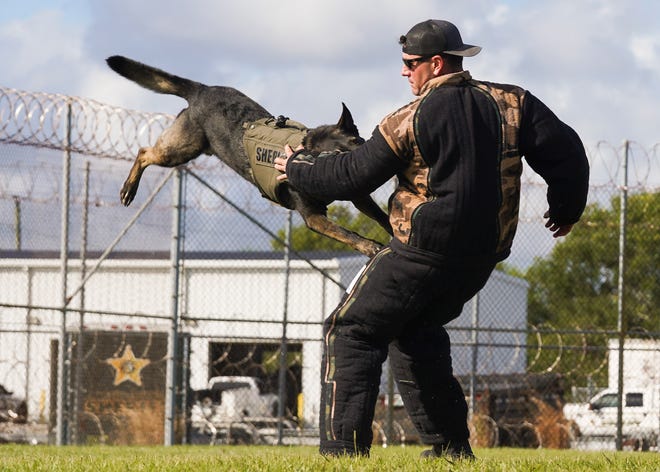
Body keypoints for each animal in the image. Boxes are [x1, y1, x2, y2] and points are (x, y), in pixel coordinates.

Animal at [105, 55, 390, 258]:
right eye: (333, 156)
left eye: (357, 142)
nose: (365, 166)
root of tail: (201, 89)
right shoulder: (314, 218)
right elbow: (345, 232)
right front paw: (369, 246)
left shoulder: (359, 197)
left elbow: (382, 217)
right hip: (178, 150)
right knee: (144, 153)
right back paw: (129, 189)